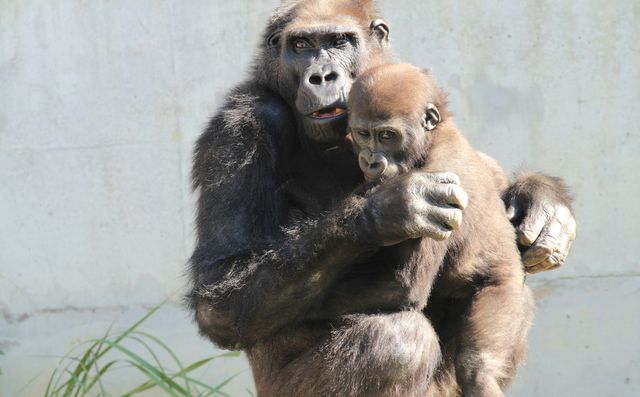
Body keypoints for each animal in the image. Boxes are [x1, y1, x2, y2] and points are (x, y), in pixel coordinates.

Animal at [344, 63, 536, 394]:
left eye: (387, 136)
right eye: (363, 134)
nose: (370, 161)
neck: (435, 136)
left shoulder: (431, 185)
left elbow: (403, 284)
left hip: (505, 292)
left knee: (478, 367)